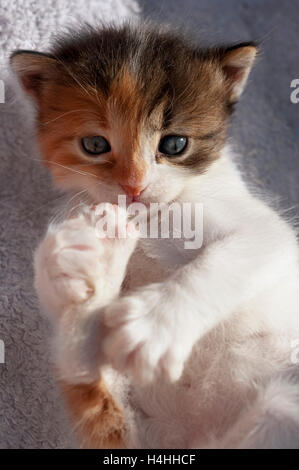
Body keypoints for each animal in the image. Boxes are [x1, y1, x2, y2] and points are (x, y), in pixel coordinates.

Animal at [10, 23, 299, 450]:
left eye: (175, 144)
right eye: (94, 145)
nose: (133, 186)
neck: (152, 219)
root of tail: (193, 438)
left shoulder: (266, 231)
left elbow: (223, 261)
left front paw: (154, 324)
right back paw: (90, 268)